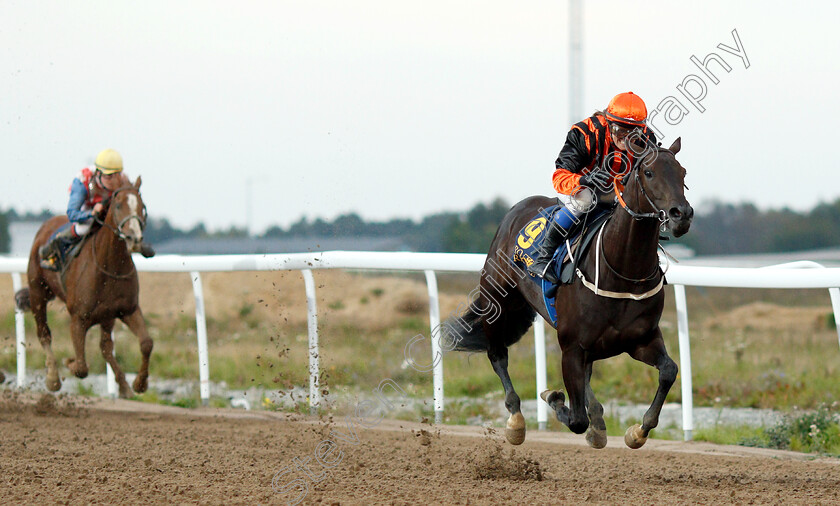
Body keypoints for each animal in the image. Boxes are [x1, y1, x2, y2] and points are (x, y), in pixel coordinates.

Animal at [16, 176, 153, 398]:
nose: (134, 239)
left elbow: (146, 343)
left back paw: (124, 386)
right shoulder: (78, 319)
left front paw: (139, 383)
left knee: (105, 347)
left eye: (142, 206)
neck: (110, 266)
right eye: (118, 205)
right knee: (44, 333)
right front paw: (69, 362)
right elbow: (81, 367)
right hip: (38, 292)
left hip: (107, 316)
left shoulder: (127, 309)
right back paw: (53, 378)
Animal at [442, 137, 692, 446]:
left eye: (682, 172)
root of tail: (519, 208)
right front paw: (553, 397)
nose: (682, 214)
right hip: (497, 301)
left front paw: (638, 431)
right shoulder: (571, 346)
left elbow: (669, 370)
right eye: (649, 173)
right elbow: (575, 418)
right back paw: (516, 419)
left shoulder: (641, 339)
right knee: (497, 354)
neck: (622, 272)